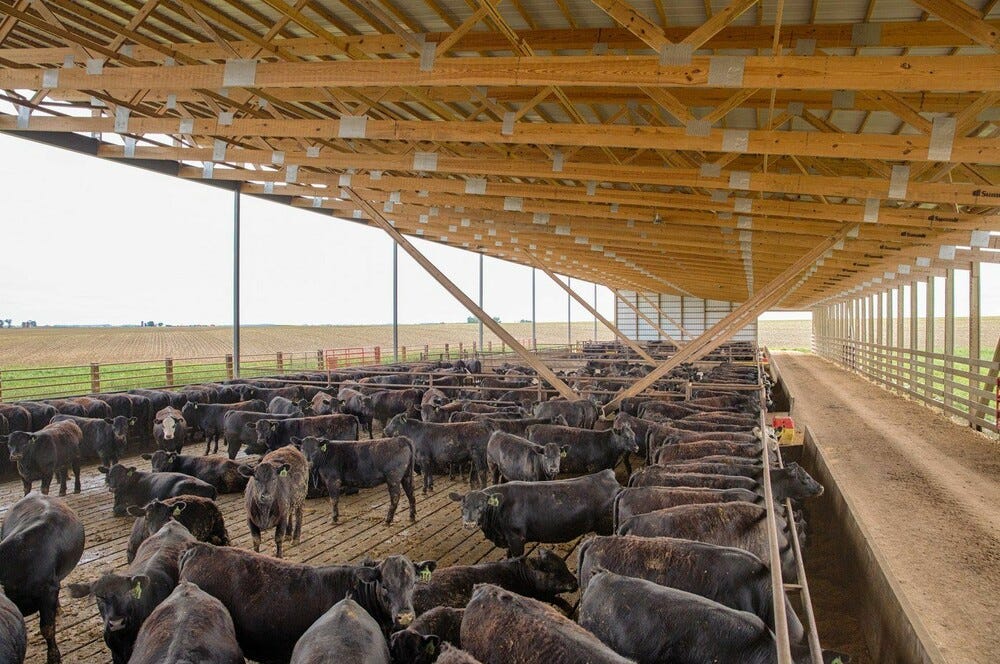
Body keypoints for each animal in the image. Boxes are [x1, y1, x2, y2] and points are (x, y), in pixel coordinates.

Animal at [449, 470, 620, 557]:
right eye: (462, 506)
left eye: (482, 506)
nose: (469, 523)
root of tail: (606, 474)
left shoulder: (516, 539)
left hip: (606, 529)